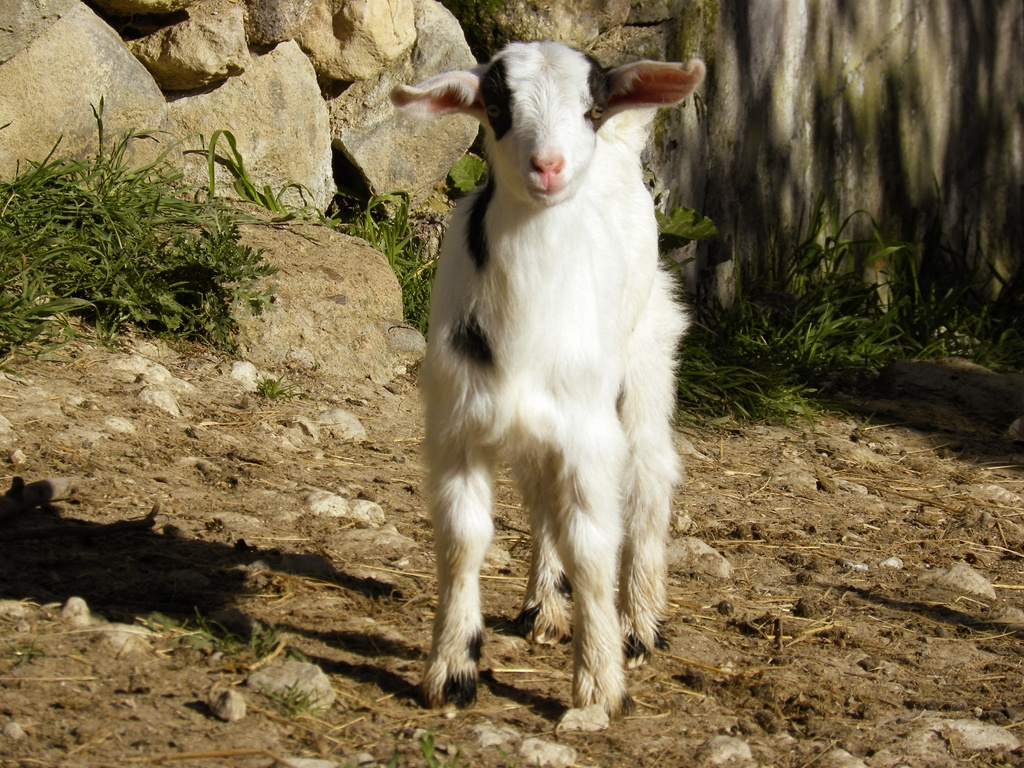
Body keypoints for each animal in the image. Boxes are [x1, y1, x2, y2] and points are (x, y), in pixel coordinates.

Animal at [392, 41, 705, 718]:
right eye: (497, 109)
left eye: (589, 108)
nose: (549, 167)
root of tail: (622, 145)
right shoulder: (457, 423)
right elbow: (462, 539)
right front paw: (452, 668)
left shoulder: (588, 433)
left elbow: (591, 547)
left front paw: (600, 684)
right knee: (541, 496)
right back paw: (543, 605)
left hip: (647, 350)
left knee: (649, 475)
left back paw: (639, 624)